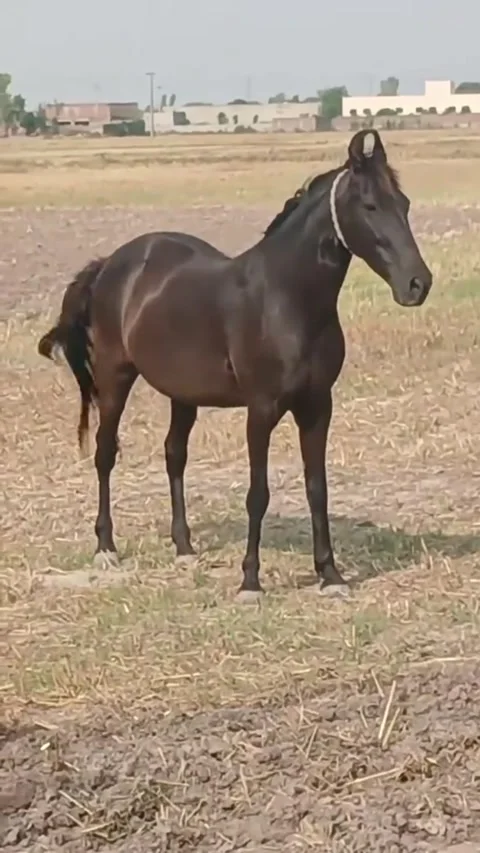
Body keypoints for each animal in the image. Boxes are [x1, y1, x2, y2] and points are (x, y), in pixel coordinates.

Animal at [38, 129, 432, 602]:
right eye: (370, 205)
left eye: (404, 204)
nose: (418, 284)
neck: (286, 298)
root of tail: (110, 264)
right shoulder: (260, 410)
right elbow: (257, 493)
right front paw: (250, 582)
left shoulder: (317, 406)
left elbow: (317, 488)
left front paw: (330, 575)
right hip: (115, 378)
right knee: (104, 453)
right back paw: (106, 548)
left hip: (182, 395)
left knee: (174, 455)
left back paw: (184, 547)